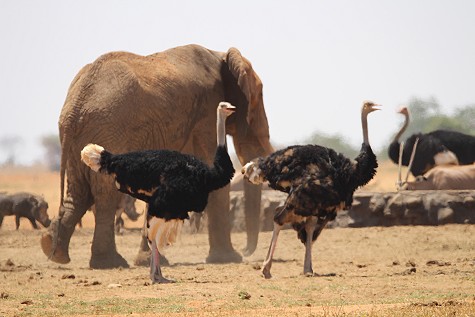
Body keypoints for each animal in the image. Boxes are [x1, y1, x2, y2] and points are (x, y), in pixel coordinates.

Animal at [41, 43, 276, 268]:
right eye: (259, 97)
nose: (247, 252)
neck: (221, 55)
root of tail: (74, 108)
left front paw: (149, 260)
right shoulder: (207, 110)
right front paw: (227, 258)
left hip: (79, 141)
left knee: (78, 194)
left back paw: (53, 250)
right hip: (108, 132)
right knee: (105, 196)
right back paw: (110, 263)